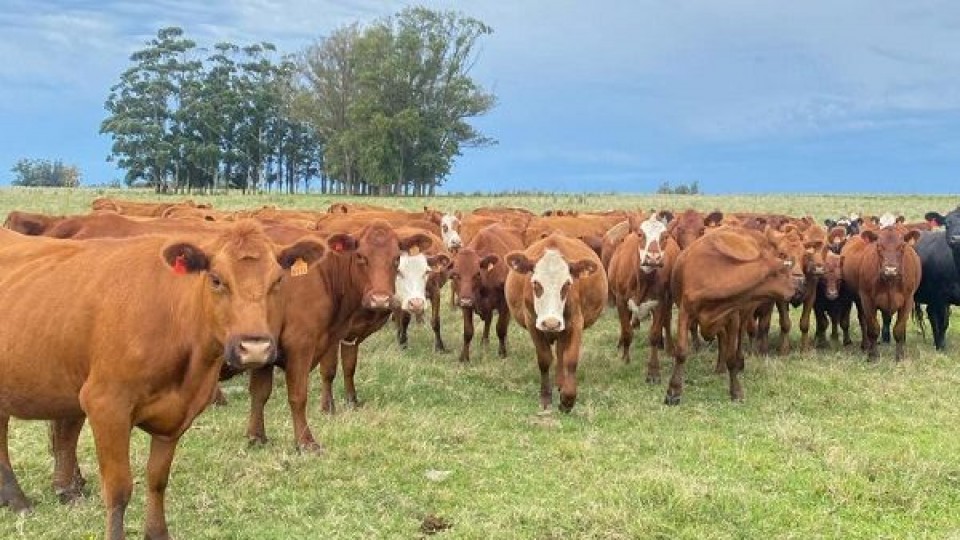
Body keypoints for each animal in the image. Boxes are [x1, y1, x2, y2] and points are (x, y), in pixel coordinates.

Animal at [0, 223, 326, 540]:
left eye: (278, 281)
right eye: (216, 279)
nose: (254, 347)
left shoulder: (177, 414)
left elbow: (157, 479)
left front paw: (157, 532)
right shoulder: (106, 405)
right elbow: (119, 489)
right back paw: (18, 499)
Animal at [452, 224, 524, 362]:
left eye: (477, 274)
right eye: (455, 274)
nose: (465, 300)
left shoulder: (504, 304)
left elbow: (501, 328)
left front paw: (502, 353)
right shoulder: (466, 304)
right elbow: (468, 331)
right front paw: (464, 357)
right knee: (488, 320)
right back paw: (484, 341)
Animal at [502, 233, 608, 414]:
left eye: (567, 284)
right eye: (536, 283)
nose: (550, 323)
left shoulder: (575, 323)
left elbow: (570, 359)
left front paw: (567, 400)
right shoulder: (533, 323)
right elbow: (544, 360)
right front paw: (545, 398)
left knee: (560, 353)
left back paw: (561, 383)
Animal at [668, 226, 796, 402]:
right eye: (783, 273)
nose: (798, 287)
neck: (712, 276)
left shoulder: (732, 316)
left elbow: (731, 356)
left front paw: (736, 390)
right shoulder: (685, 312)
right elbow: (681, 352)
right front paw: (673, 391)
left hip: (743, 314)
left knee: (739, 338)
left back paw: (739, 362)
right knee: (722, 338)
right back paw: (719, 367)